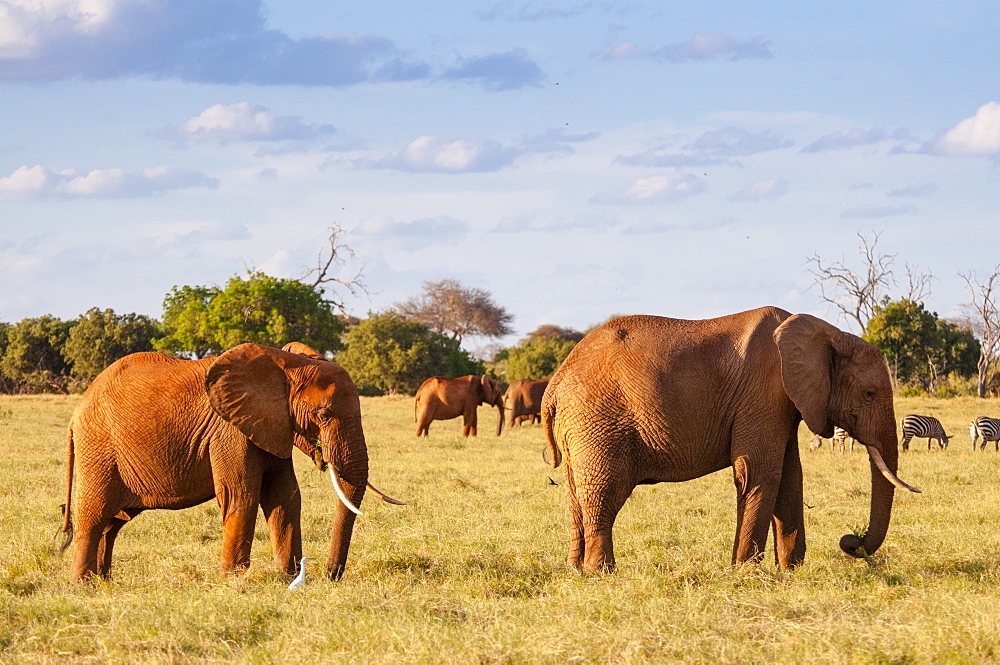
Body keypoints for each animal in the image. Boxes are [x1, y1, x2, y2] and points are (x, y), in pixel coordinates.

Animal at [58, 342, 400, 580]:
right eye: (324, 415)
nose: (329, 576)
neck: (286, 364)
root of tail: (76, 413)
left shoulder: (272, 424)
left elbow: (285, 496)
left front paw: (287, 578)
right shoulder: (230, 430)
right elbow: (242, 495)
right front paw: (234, 581)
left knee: (113, 521)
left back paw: (104, 582)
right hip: (99, 447)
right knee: (95, 514)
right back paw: (83, 585)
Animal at [544, 306, 916, 572]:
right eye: (869, 394)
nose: (850, 540)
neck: (830, 335)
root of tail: (556, 383)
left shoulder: (781, 403)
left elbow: (789, 477)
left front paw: (790, 571)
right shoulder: (765, 393)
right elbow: (760, 473)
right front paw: (745, 572)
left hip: (579, 429)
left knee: (576, 496)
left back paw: (575, 570)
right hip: (598, 422)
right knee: (604, 492)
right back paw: (602, 573)